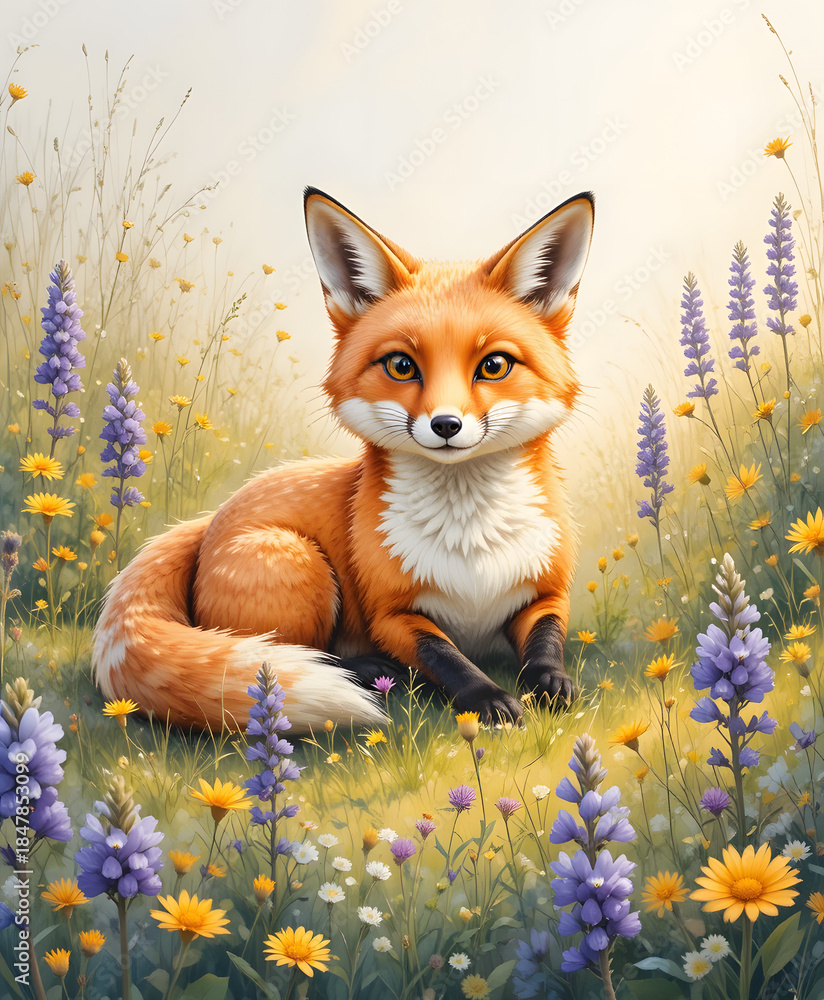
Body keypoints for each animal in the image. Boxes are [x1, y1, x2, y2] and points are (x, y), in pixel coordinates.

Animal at [92, 188, 595, 731]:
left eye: (495, 365)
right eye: (402, 365)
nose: (445, 425)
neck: (470, 547)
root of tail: (208, 522)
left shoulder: (546, 592)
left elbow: (546, 641)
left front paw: (551, 682)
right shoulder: (392, 614)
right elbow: (445, 656)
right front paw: (488, 697)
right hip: (300, 563)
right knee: (277, 651)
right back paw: (367, 670)